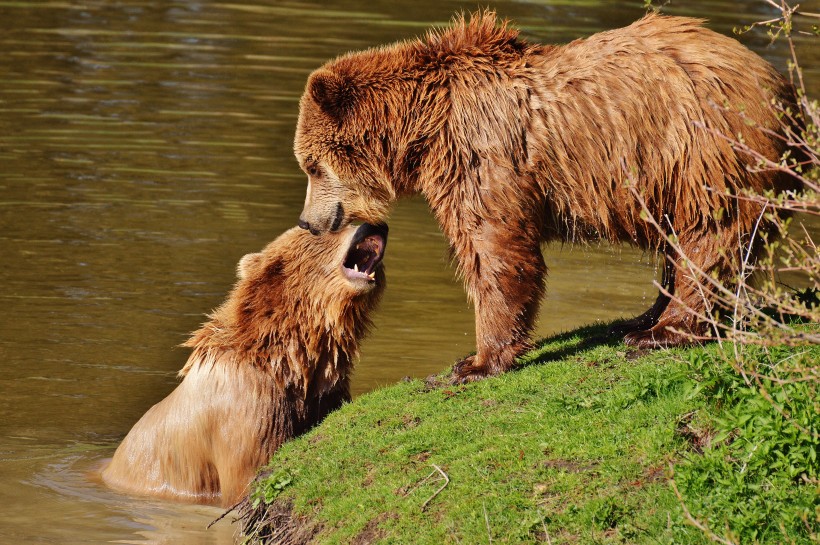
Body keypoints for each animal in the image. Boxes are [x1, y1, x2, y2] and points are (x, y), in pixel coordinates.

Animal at [294, 11, 800, 382]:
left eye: (311, 165)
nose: (308, 221)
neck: (425, 126)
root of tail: (781, 86)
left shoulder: (482, 157)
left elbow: (495, 250)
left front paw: (476, 362)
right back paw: (639, 318)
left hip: (704, 150)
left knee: (709, 235)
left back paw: (664, 331)